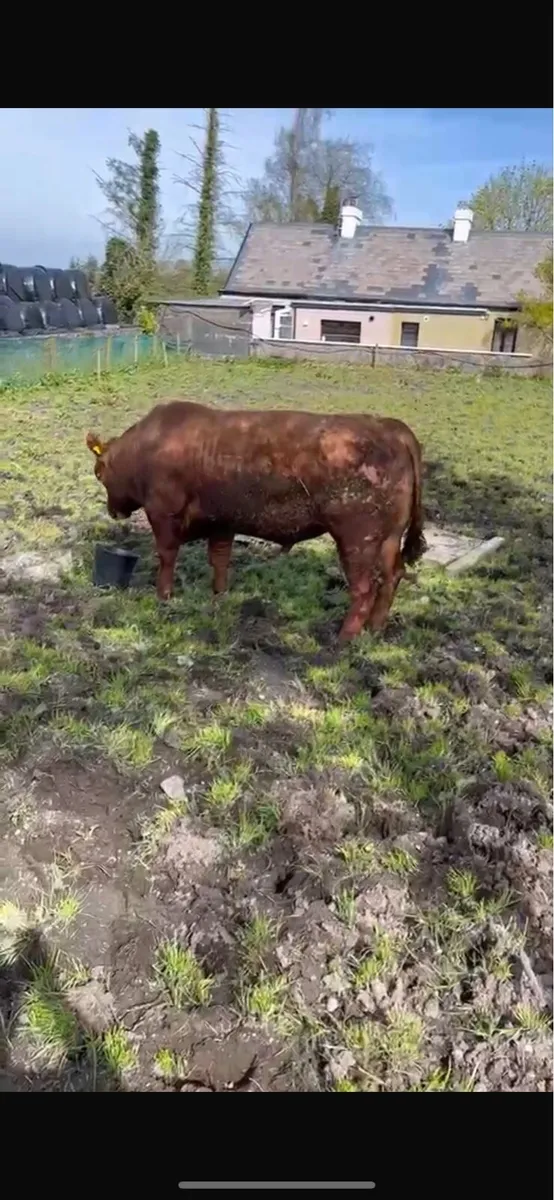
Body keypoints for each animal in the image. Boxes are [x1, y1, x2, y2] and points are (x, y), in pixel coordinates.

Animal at [86, 400, 426, 642]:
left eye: (98, 472)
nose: (113, 511)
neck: (149, 445)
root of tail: (388, 426)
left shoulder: (163, 513)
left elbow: (167, 556)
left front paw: (163, 597)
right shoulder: (222, 521)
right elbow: (220, 559)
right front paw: (219, 597)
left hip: (357, 538)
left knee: (364, 588)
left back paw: (344, 639)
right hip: (388, 537)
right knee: (392, 575)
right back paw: (375, 629)